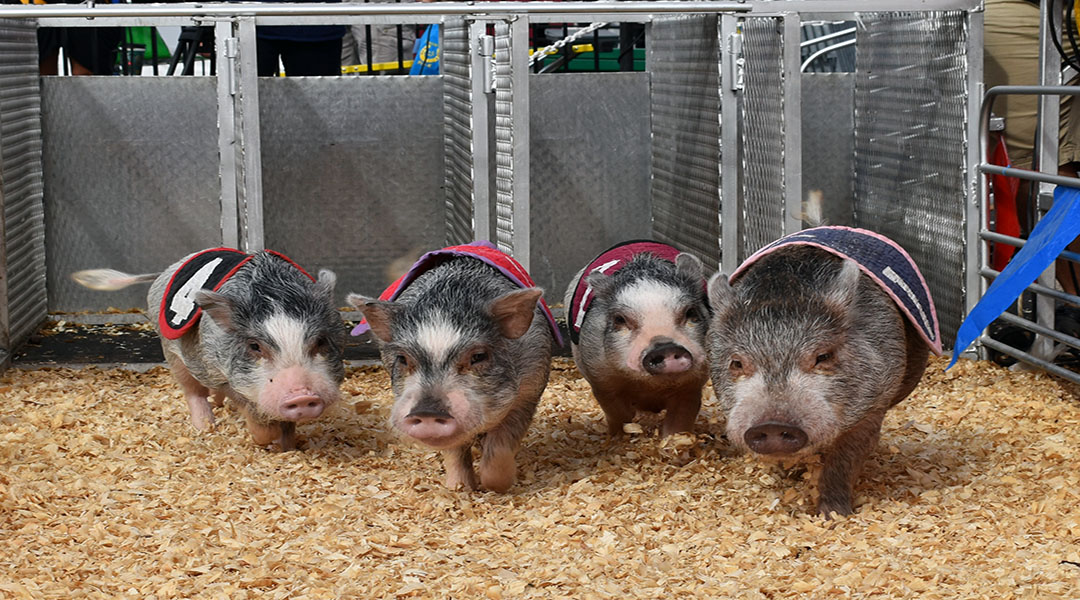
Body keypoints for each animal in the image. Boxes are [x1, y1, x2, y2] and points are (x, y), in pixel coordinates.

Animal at [71, 248, 345, 448]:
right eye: (255, 346)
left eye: (321, 341)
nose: (303, 396)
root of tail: (165, 271)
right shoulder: (221, 374)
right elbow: (253, 411)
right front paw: (266, 440)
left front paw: (287, 446)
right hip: (172, 352)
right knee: (193, 391)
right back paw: (205, 427)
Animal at [704, 227, 941, 517]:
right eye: (736, 363)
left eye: (823, 356)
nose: (772, 425)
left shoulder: (876, 402)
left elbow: (847, 456)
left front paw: (833, 514)